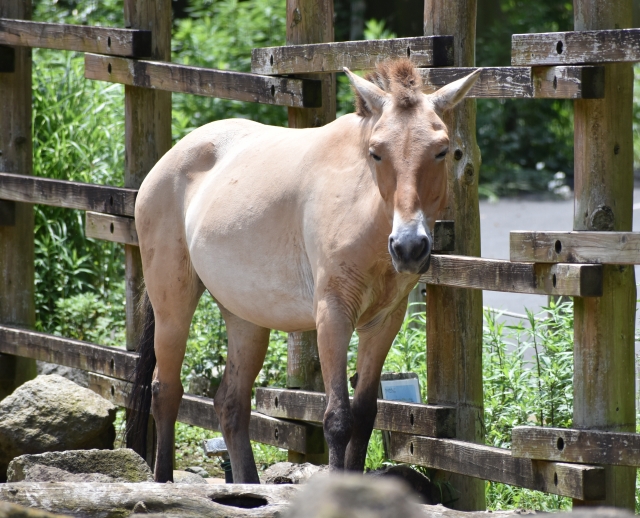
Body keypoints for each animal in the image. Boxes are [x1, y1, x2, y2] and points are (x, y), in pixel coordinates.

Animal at [129, 59, 480, 486]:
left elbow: (364, 417)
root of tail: (168, 160)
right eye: (376, 153)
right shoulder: (333, 315)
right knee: (166, 391)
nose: (409, 246)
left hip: (246, 317)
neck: (365, 211)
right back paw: (164, 481)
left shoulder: (383, 323)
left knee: (230, 403)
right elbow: (338, 420)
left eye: (442, 150)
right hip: (172, 306)